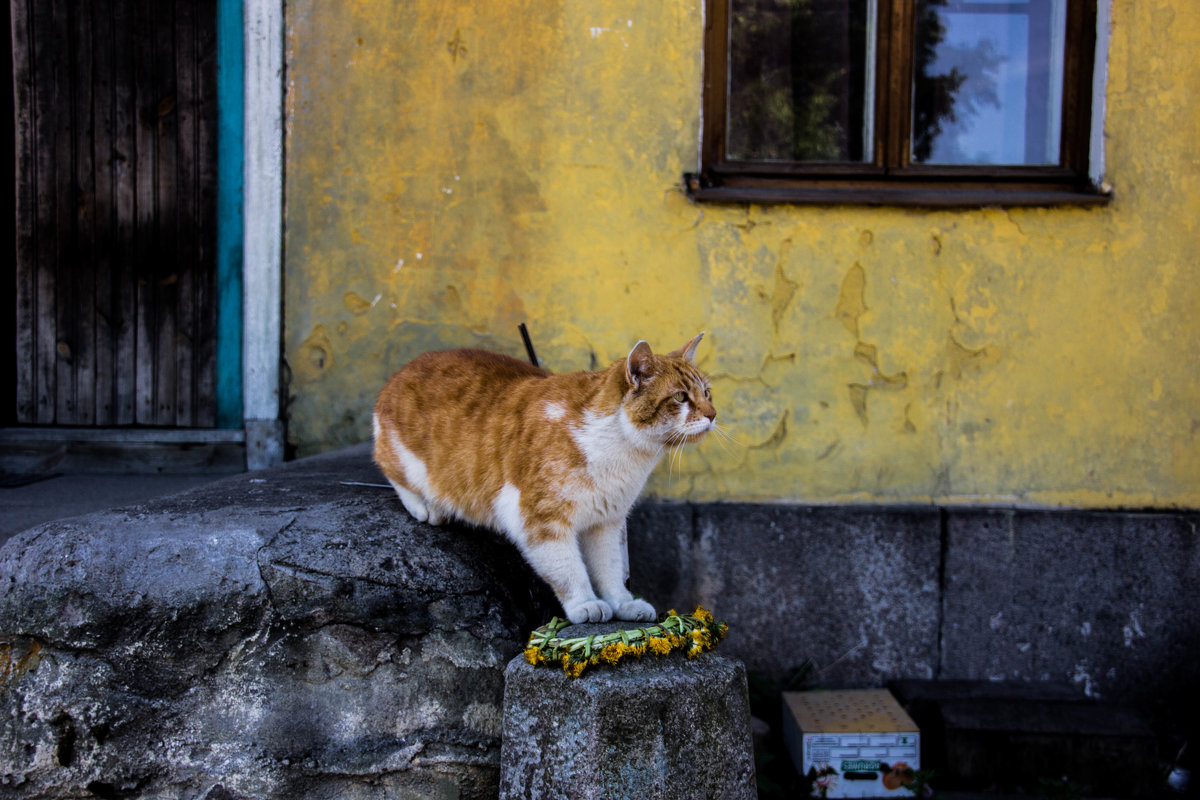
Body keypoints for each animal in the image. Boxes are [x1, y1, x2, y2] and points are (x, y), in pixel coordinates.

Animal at [372, 331, 710, 623]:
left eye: (706, 392)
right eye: (681, 397)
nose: (712, 414)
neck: (623, 453)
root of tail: (400, 373)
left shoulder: (606, 523)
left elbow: (610, 568)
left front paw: (622, 604)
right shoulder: (539, 518)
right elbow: (568, 569)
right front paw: (585, 604)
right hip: (406, 459)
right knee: (390, 469)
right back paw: (426, 507)